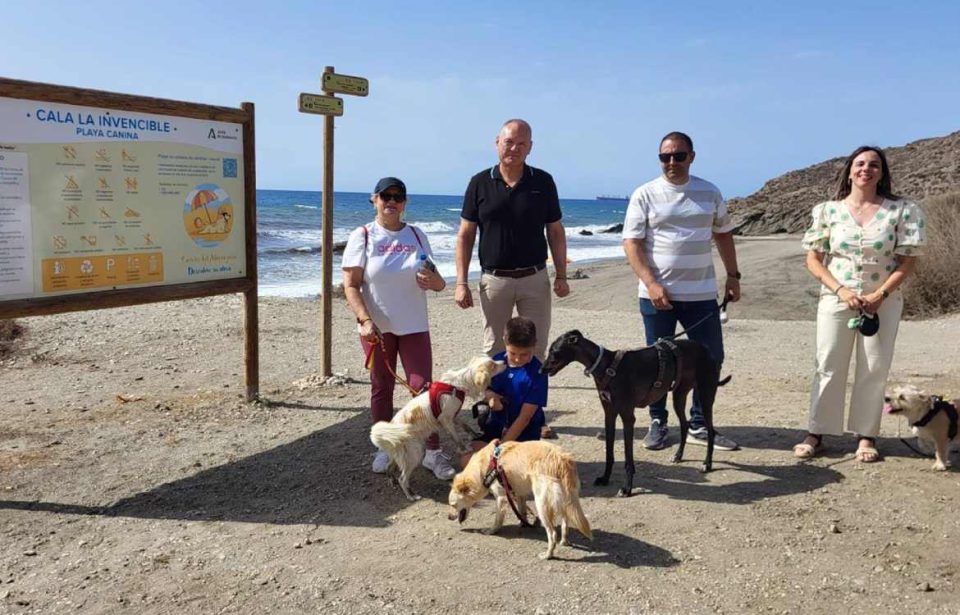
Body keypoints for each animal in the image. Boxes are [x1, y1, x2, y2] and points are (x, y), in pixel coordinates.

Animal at [368, 356, 506, 500]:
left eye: (493, 361)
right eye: (493, 365)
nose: (504, 362)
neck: (458, 384)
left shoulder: (453, 416)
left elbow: (465, 425)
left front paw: (474, 434)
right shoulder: (445, 420)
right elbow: (456, 438)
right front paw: (464, 449)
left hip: (401, 456)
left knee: (389, 468)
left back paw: (392, 480)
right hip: (414, 453)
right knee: (403, 479)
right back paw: (411, 495)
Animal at [450, 440, 592, 560]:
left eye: (453, 505)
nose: (449, 517)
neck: (487, 466)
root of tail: (562, 460)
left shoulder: (501, 498)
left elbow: (498, 520)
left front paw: (491, 531)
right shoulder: (519, 494)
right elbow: (521, 511)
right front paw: (523, 523)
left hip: (541, 504)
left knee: (552, 534)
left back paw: (548, 554)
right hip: (563, 499)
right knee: (565, 522)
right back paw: (564, 541)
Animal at [540, 330, 728, 498]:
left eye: (554, 351)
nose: (541, 370)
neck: (607, 367)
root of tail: (705, 349)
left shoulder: (627, 417)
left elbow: (628, 459)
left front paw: (627, 488)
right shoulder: (609, 413)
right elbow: (609, 453)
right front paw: (605, 478)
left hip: (705, 395)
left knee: (710, 430)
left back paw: (707, 464)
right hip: (679, 395)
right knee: (684, 424)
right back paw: (678, 456)